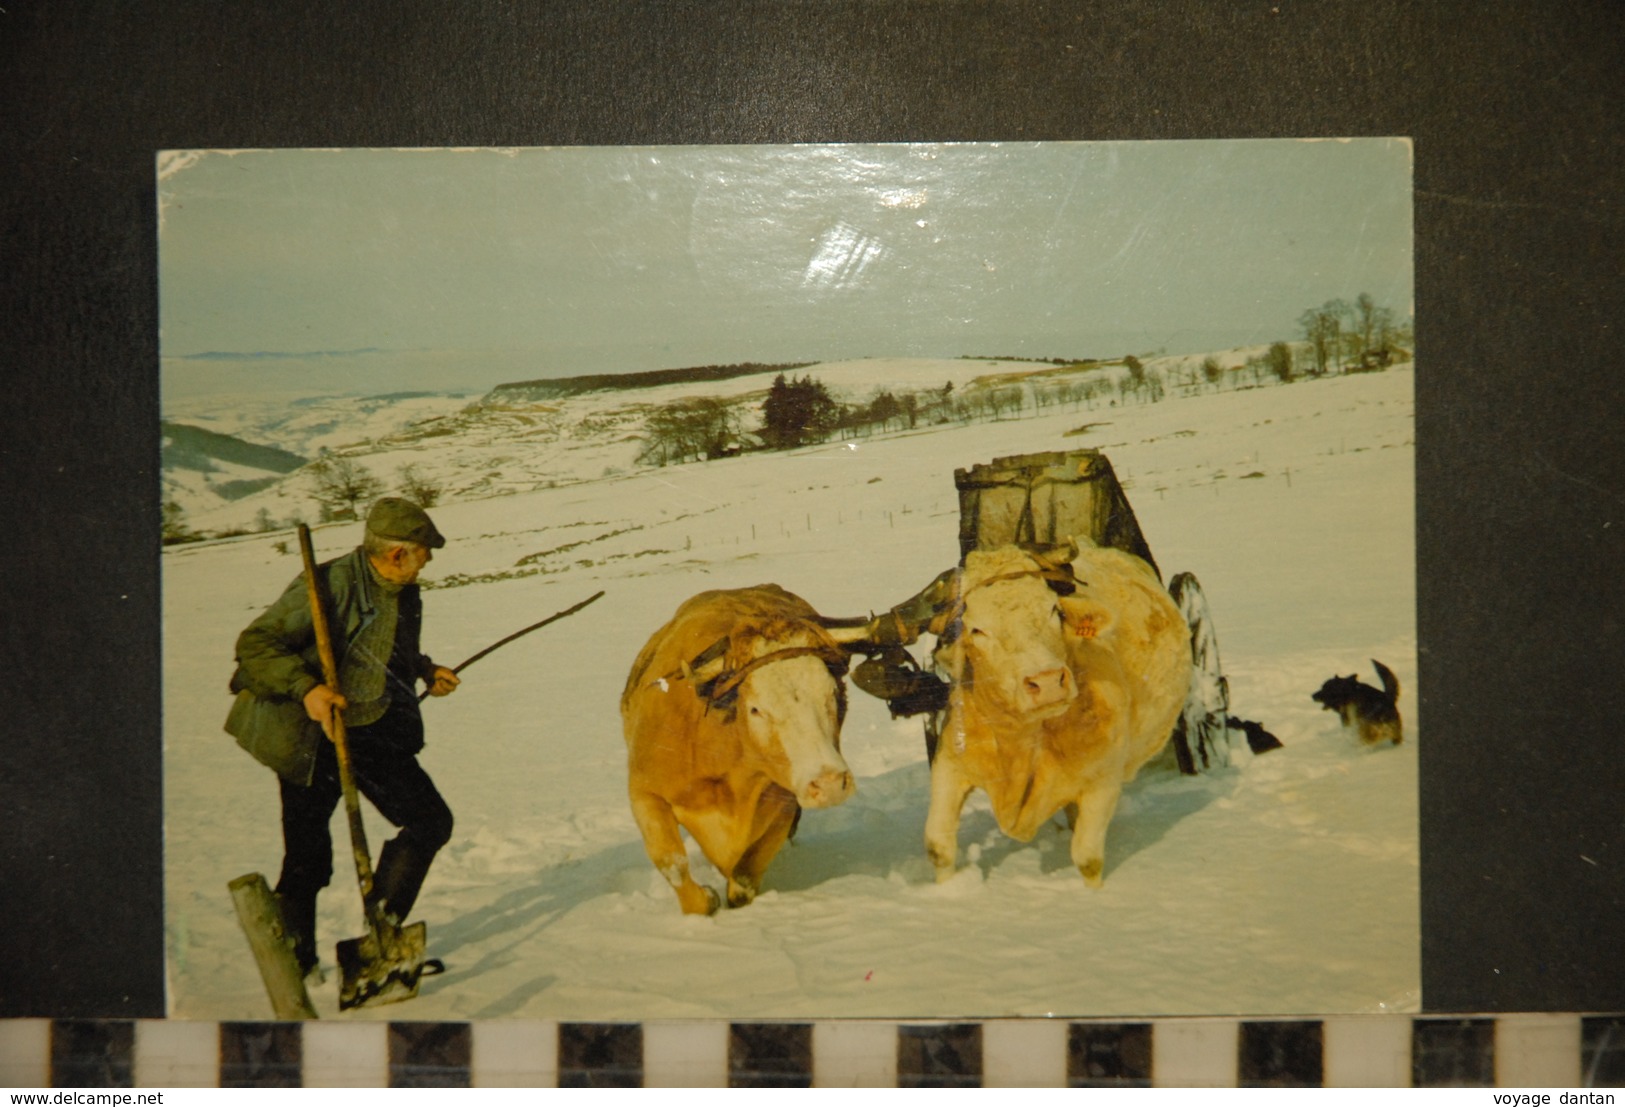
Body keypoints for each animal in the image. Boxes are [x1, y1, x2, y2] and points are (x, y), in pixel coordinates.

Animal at [614, 581, 858, 910]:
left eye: (833, 693)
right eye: (755, 709)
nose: (830, 782)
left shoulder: (783, 803)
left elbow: (744, 880)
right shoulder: (645, 793)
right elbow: (673, 864)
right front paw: (705, 899)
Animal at [929, 539, 1196, 884]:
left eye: (1053, 610)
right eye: (977, 630)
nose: (1046, 682)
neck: (1024, 741)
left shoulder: (1103, 782)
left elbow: (1088, 859)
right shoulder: (950, 764)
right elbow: (939, 847)